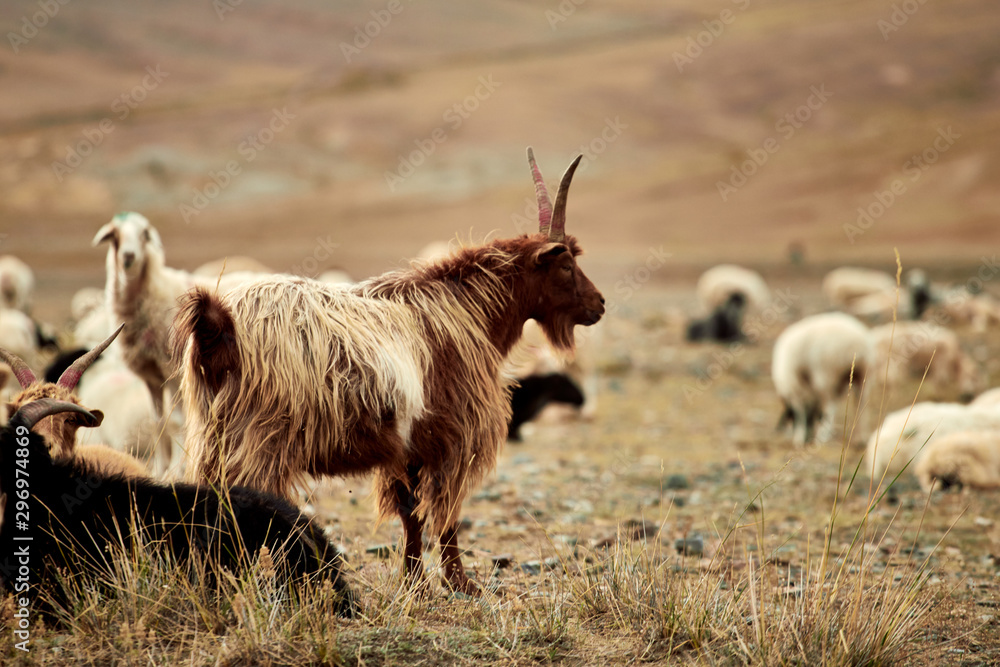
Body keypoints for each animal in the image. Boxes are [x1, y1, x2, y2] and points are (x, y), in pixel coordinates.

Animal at [175, 148, 605, 594]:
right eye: (566, 265)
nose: (600, 304)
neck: (464, 310)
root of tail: (218, 324)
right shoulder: (454, 438)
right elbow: (447, 513)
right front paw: (460, 582)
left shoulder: (409, 447)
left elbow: (410, 512)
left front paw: (414, 581)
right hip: (258, 442)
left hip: (215, 436)